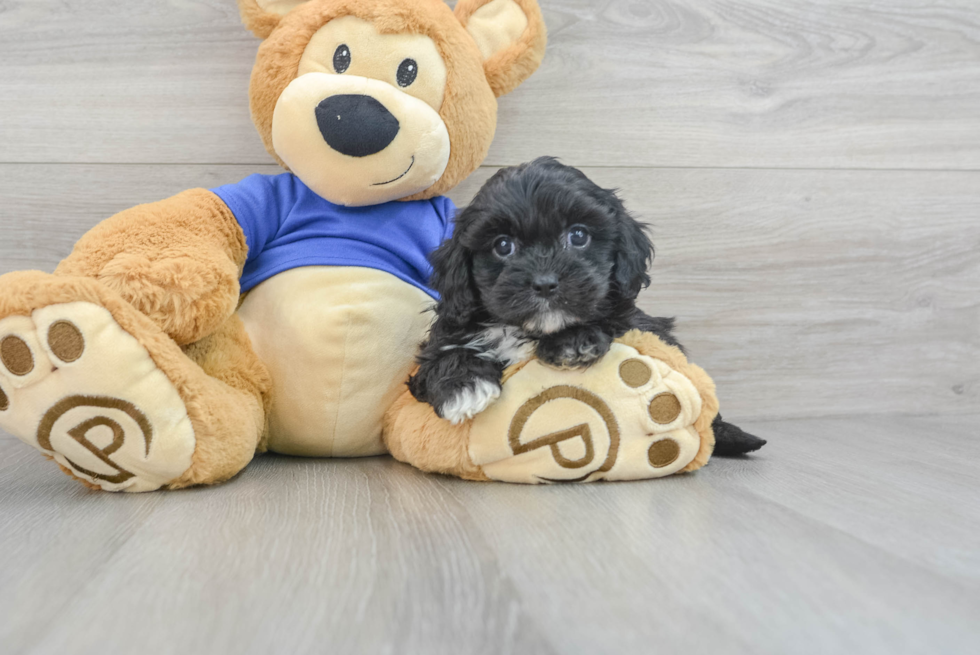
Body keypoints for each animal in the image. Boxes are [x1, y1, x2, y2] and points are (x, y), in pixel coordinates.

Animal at [406, 159, 764, 456]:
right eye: (503, 245)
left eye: (578, 236)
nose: (545, 283)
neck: (529, 330)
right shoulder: (449, 329)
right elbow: (443, 355)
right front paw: (463, 388)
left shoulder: (639, 324)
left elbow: (611, 321)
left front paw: (573, 341)